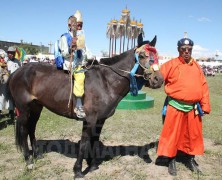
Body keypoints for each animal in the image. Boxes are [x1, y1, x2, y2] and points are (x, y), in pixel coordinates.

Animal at [6, 35, 164, 177]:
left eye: (157, 56)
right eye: (142, 55)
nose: (158, 79)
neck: (106, 82)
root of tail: (17, 72)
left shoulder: (100, 120)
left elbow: (94, 140)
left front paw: (93, 164)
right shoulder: (89, 120)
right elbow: (84, 143)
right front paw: (78, 170)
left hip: (36, 108)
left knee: (31, 128)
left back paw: (37, 155)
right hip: (24, 110)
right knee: (24, 130)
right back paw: (28, 161)